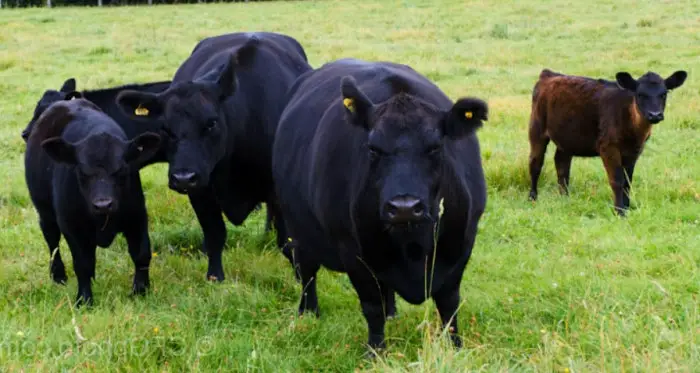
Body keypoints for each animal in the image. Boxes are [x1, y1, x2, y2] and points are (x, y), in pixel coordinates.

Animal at [25, 95, 162, 306]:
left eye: (122, 169)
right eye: (82, 172)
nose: (103, 204)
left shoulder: (137, 217)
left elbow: (141, 254)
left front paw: (140, 291)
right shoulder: (71, 226)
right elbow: (82, 264)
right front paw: (84, 300)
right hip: (44, 212)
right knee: (52, 242)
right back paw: (58, 275)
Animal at [115, 32, 312, 282]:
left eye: (211, 123)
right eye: (165, 129)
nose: (183, 177)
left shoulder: (278, 192)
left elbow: (288, 242)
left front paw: (300, 278)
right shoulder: (201, 191)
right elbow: (215, 234)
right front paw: (215, 277)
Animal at [270, 58, 490, 352]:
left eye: (435, 147)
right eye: (373, 148)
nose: (404, 206)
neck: (413, 246)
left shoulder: (462, 245)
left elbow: (449, 304)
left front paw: (455, 347)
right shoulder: (353, 253)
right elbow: (371, 306)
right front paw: (376, 351)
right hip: (297, 229)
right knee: (307, 273)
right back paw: (309, 314)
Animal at [528, 68, 688, 215]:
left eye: (664, 94)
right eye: (640, 94)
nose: (655, 115)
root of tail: (549, 74)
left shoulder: (634, 151)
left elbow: (627, 182)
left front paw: (627, 208)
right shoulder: (608, 147)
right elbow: (617, 180)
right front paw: (620, 211)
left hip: (567, 138)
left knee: (562, 164)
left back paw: (565, 198)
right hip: (537, 129)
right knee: (536, 163)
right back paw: (533, 198)